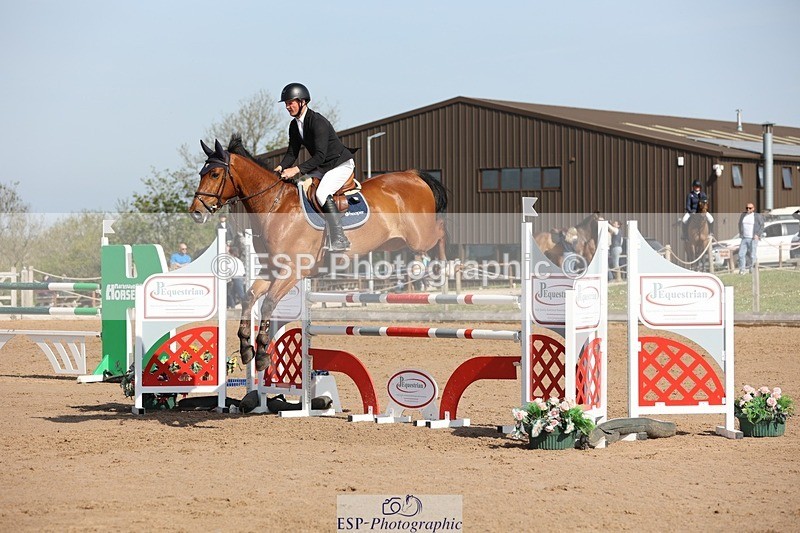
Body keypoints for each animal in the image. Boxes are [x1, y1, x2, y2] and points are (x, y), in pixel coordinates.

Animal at [189, 137, 448, 371]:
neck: (275, 205)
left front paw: (261, 354)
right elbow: (249, 297)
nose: (196, 212)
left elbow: (268, 304)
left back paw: (441, 270)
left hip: (419, 238)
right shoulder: (271, 269)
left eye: (214, 174)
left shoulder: (292, 271)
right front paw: (245, 348)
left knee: (440, 232)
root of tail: (412, 175)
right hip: (395, 242)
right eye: (202, 173)